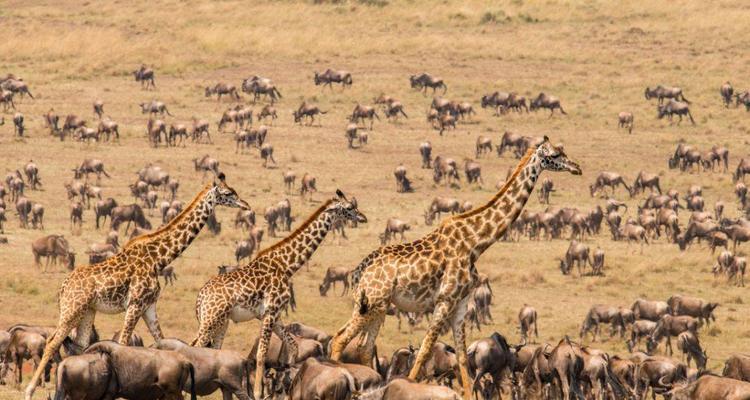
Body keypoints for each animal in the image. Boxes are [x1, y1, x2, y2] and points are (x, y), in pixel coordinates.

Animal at [25, 173, 250, 400]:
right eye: (228, 193)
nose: (246, 205)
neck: (159, 259)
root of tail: (63, 287)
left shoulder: (149, 306)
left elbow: (161, 340)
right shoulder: (134, 304)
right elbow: (124, 343)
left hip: (88, 311)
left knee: (79, 345)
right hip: (73, 308)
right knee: (52, 341)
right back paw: (30, 390)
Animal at [191, 190, 368, 400]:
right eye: (349, 208)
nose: (363, 218)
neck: (287, 265)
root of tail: (200, 297)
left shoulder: (273, 315)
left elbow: (292, 345)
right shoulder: (270, 312)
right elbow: (261, 353)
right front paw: (258, 392)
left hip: (221, 322)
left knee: (211, 349)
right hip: (210, 319)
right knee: (195, 345)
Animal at [332, 137, 584, 396]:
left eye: (563, 150)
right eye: (554, 155)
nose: (577, 167)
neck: (476, 243)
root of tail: (360, 270)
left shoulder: (461, 304)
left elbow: (463, 358)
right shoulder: (444, 300)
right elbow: (424, 351)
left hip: (377, 306)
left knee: (362, 346)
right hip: (372, 303)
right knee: (340, 338)